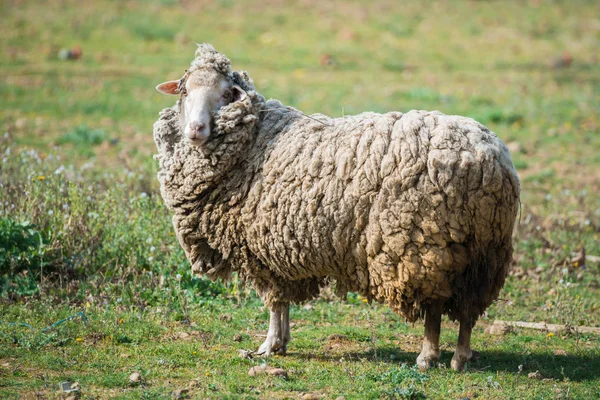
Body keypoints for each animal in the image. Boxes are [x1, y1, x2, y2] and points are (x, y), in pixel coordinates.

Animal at [154, 44, 520, 372]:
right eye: (184, 91)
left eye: (226, 93)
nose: (196, 129)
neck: (254, 141)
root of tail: (493, 160)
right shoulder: (281, 250)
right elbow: (283, 302)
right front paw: (282, 342)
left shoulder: (261, 249)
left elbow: (274, 302)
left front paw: (269, 346)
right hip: (480, 252)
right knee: (468, 308)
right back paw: (460, 357)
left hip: (425, 245)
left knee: (434, 306)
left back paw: (427, 356)